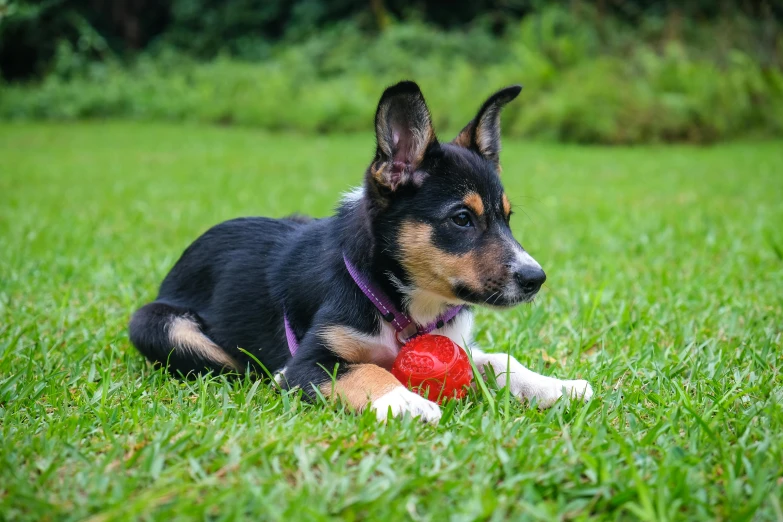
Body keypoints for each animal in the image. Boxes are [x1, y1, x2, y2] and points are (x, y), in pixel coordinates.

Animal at [129, 82, 596, 422]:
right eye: (462, 219)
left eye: (507, 218)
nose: (536, 279)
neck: (398, 301)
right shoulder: (309, 362)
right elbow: (364, 369)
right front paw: (404, 402)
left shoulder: (459, 343)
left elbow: (499, 360)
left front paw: (556, 386)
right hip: (158, 325)